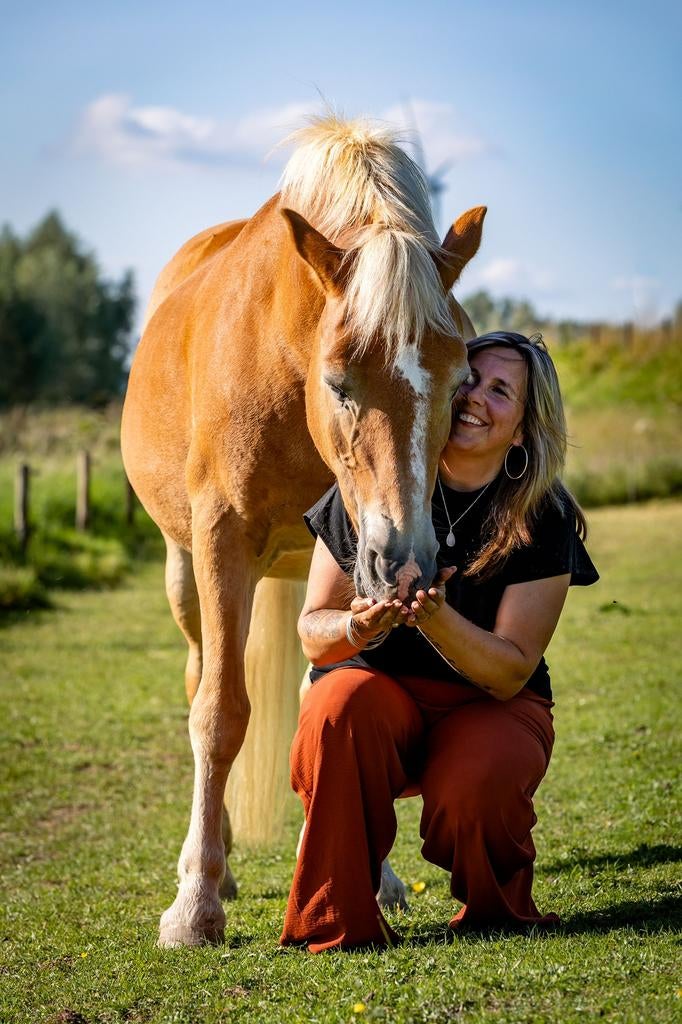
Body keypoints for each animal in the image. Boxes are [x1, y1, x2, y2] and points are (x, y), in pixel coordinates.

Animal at [121, 116, 486, 947]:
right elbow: (219, 714)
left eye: (463, 387)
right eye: (339, 383)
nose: (408, 562)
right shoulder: (222, 547)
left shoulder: (359, 579)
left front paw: (371, 874)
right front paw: (197, 905)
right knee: (200, 680)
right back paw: (210, 859)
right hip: (185, 570)